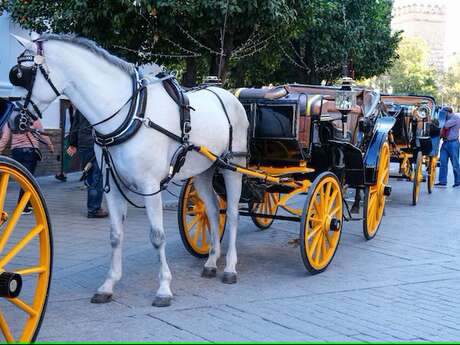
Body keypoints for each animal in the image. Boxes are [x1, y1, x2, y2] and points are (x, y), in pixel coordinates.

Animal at [11, 33, 248, 306]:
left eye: (24, 75)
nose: (13, 120)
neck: (131, 113)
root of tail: (226, 93)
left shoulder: (150, 186)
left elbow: (157, 236)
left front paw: (164, 287)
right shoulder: (112, 186)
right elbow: (115, 235)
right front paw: (108, 284)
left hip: (233, 167)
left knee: (232, 214)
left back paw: (229, 267)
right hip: (203, 170)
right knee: (211, 211)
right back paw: (210, 261)